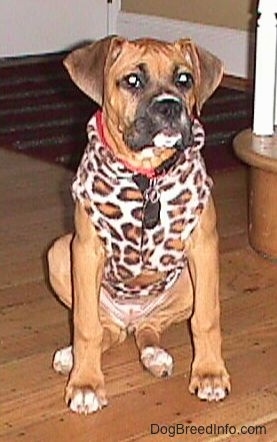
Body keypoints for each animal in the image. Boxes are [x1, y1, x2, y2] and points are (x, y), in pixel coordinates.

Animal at [47, 34, 229, 414]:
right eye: (133, 81)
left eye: (184, 79)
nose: (170, 107)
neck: (147, 177)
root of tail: (129, 319)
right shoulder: (85, 251)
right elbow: (85, 326)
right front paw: (86, 384)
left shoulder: (204, 248)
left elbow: (206, 318)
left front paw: (209, 374)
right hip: (59, 252)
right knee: (106, 330)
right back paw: (72, 357)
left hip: (188, 282)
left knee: (149, 327)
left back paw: (154, 355)